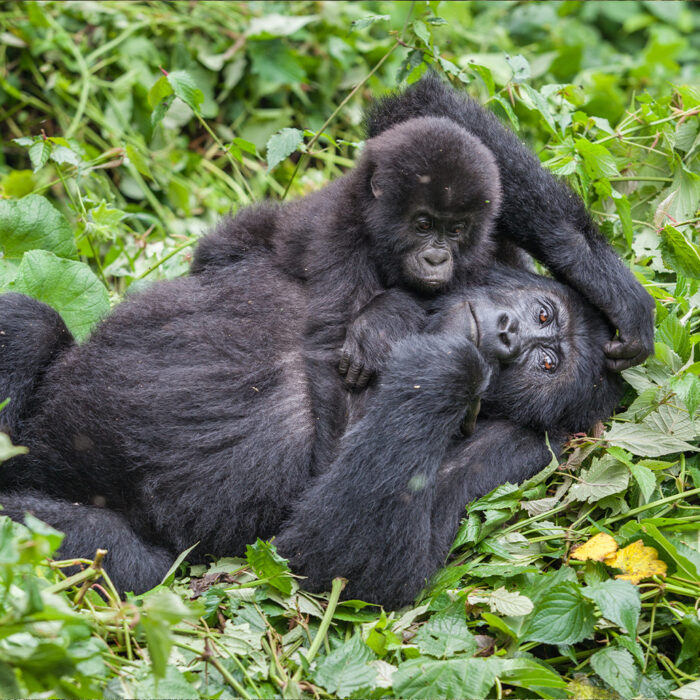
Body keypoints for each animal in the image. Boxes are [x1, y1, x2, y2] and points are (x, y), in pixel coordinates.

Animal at [0, 253, 620, 608]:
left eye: (547, 365)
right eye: (544, 314)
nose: (510, 336)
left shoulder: (527, 448)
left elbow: (347, 563)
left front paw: (447, 368)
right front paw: (390, 315)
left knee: (128, 559)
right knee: (29, 325)